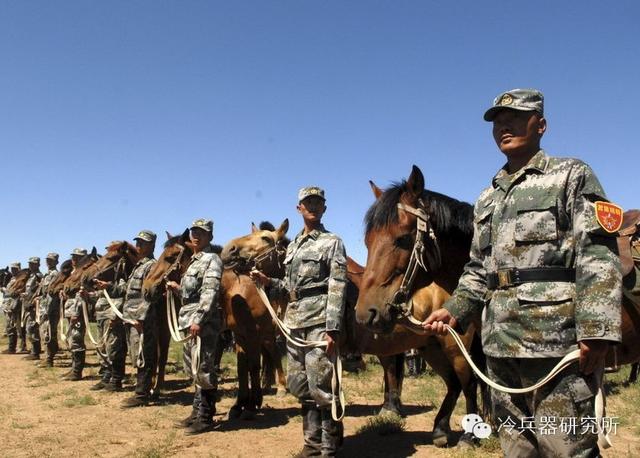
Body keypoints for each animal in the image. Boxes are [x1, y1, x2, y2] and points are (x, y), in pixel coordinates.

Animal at [220, 221, 290, 418]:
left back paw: (280, 387)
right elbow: (242, 368)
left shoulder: (253, 334)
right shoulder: (239, 336)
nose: (228, 249)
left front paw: (252, 405)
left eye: (266, 238)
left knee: (273, 353)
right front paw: (239, 404)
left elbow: (253, 365)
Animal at [352, 165, 482, 448]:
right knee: (455, 383)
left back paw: (468, 434)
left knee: (468, 383)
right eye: (367, 241)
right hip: (432, 346)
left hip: (456, 348)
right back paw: (441, 428)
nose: (366, 314)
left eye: (402, 239)